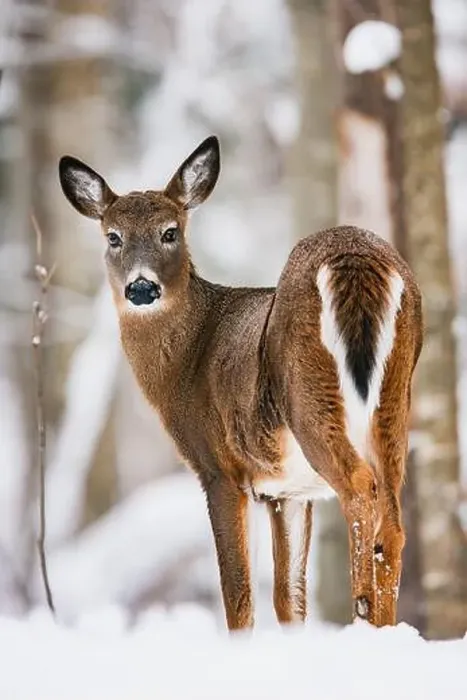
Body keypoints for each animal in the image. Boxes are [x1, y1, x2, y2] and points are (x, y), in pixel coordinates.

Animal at [58, 135, 423, 631]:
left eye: (170, 232)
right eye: (113, 237)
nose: (141, 287)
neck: (189, 360)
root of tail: (356, 258)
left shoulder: (218, 468)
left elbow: (238, 593)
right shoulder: (287, 491)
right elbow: (290, 597)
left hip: (310, 398)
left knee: (359, 486)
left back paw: (363, 613)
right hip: (395, 401)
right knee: (395, 525)